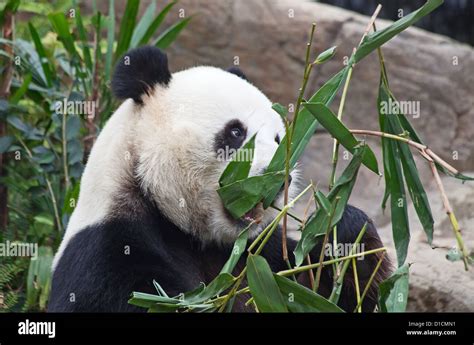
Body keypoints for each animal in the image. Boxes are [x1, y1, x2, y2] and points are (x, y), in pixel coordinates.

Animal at [48, 45, 390, 312]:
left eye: (278, 139)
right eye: (236, 132)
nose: (278, 181)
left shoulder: (256, 257)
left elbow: (319, 294)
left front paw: (345, 228)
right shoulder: (107, 253)